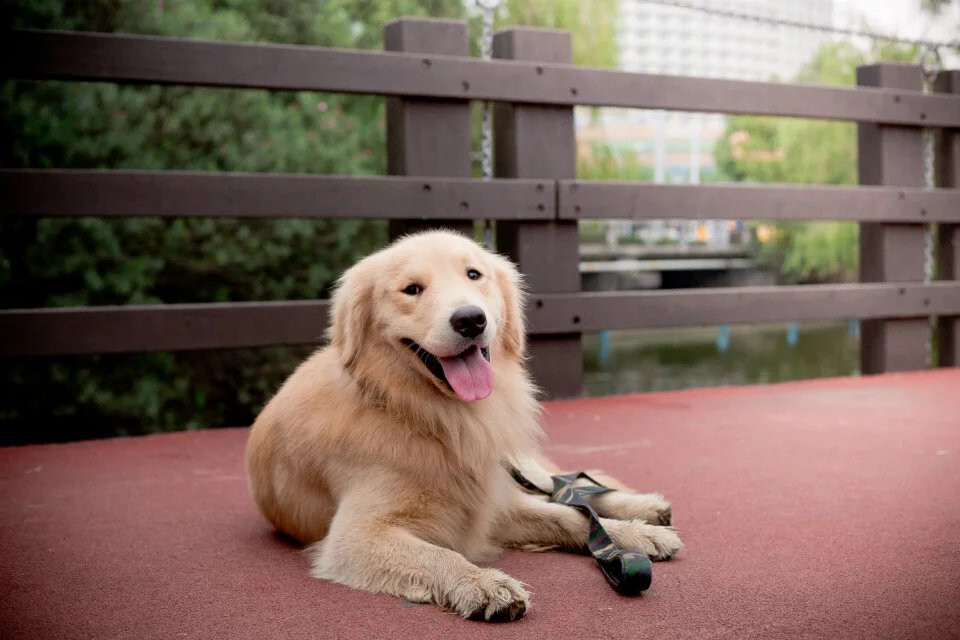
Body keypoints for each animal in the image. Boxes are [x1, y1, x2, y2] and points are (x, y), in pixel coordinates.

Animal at [248, 230, 684, 620]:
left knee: (564, 486)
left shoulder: (490, 500)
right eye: (411, 289)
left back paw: (643, 510)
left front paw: (632, 535)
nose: (471, 320)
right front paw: (481, 583)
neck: (428, 415)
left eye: (474, 275)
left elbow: (568, 517)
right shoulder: (357, 535)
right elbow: (437, 553)